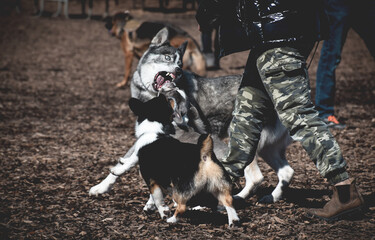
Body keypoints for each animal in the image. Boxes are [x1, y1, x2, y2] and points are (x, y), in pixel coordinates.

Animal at [89, 27, 296, 204]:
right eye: (167, 57)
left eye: (180, 63)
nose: (178, 70)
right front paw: (102, 186)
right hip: (268, 149)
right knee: (287, 172)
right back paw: (271, 197)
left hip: (242, 141)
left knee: (255, 177)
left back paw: (236, 197)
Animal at [128, 94, 239, 226]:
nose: (167, 95)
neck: (153, 129)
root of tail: (204, 155)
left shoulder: (152, 181)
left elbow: (158, 199)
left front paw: (163, 212)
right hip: (218, 187)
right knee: (228, 201)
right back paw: (233, 221)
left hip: (181, 190)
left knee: (182, 207)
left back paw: (172, 220)